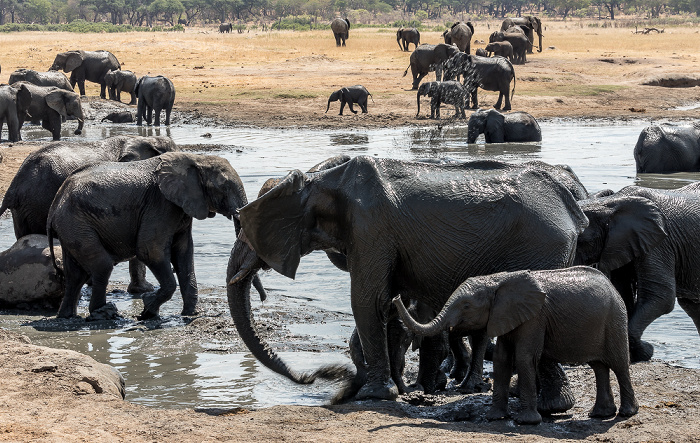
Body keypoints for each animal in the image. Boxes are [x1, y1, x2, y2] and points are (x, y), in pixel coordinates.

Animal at [47, 152, 249, 320]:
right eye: (224, 186)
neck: (196, 159)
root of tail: (56, 201)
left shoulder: (181, 208)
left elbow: (184, 253)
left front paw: (190, 314)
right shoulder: (161, 204)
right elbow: (150, 250)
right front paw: (148, 310)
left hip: (72, 226)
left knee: (75, 275)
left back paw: (67, 316)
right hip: (76, 221)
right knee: (102, 266)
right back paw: (103, 314)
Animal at [227, 157, 588, 410]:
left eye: (244, 230)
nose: (310, 377)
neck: (322, 180)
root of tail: (569, 205)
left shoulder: (370, 228)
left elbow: (367, 299)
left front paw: (373, 394)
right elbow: (388, 304)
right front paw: (390, 389)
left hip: (542, 244)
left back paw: (548, 405)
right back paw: (546, 403)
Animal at [394, 268, 640, 426]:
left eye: (466, 306)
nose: (396, 297)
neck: (497, 281)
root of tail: (612, 286)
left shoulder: (535, 317)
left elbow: (524, 357)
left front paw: (526, 422)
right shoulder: (505, 315)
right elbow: (502, 358)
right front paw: (494, 417)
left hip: (615, 319)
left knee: (619, 365)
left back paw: (626, 413)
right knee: (599, 366)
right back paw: (599, 414)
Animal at [576, 184, 700, 364]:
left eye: (580, 241)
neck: (610, 203)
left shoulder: (660, 242)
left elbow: (661, 297)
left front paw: (645, 352)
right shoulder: (621, 244)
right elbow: (623, 295)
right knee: (692, 307)